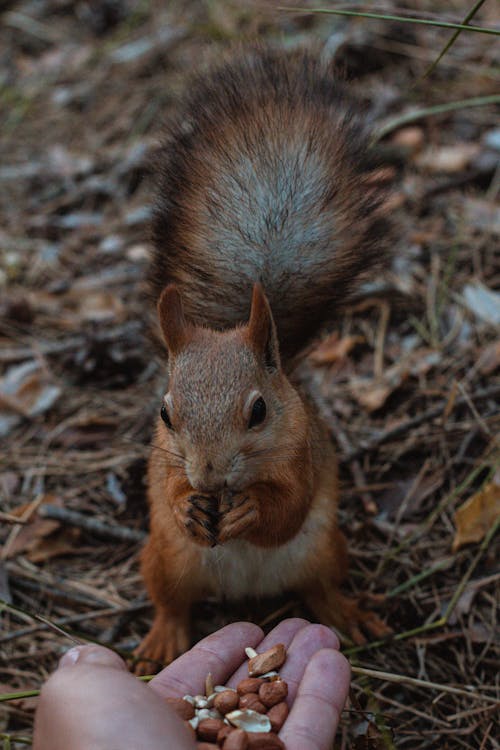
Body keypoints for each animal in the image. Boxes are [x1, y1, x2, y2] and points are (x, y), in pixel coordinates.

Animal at [135, 47, 392, 672]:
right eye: (166, 414)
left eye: (258, 412)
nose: (208, 476)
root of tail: (243, 594)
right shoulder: (163, 463)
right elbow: (167, 491)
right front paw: (188, 505)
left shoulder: (302, 455)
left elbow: (286, 509)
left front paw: (251, 509)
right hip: (162, 558)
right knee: (170, 602)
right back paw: (161, 641)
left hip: (326, 548)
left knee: (321, 588)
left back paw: (349, 615)